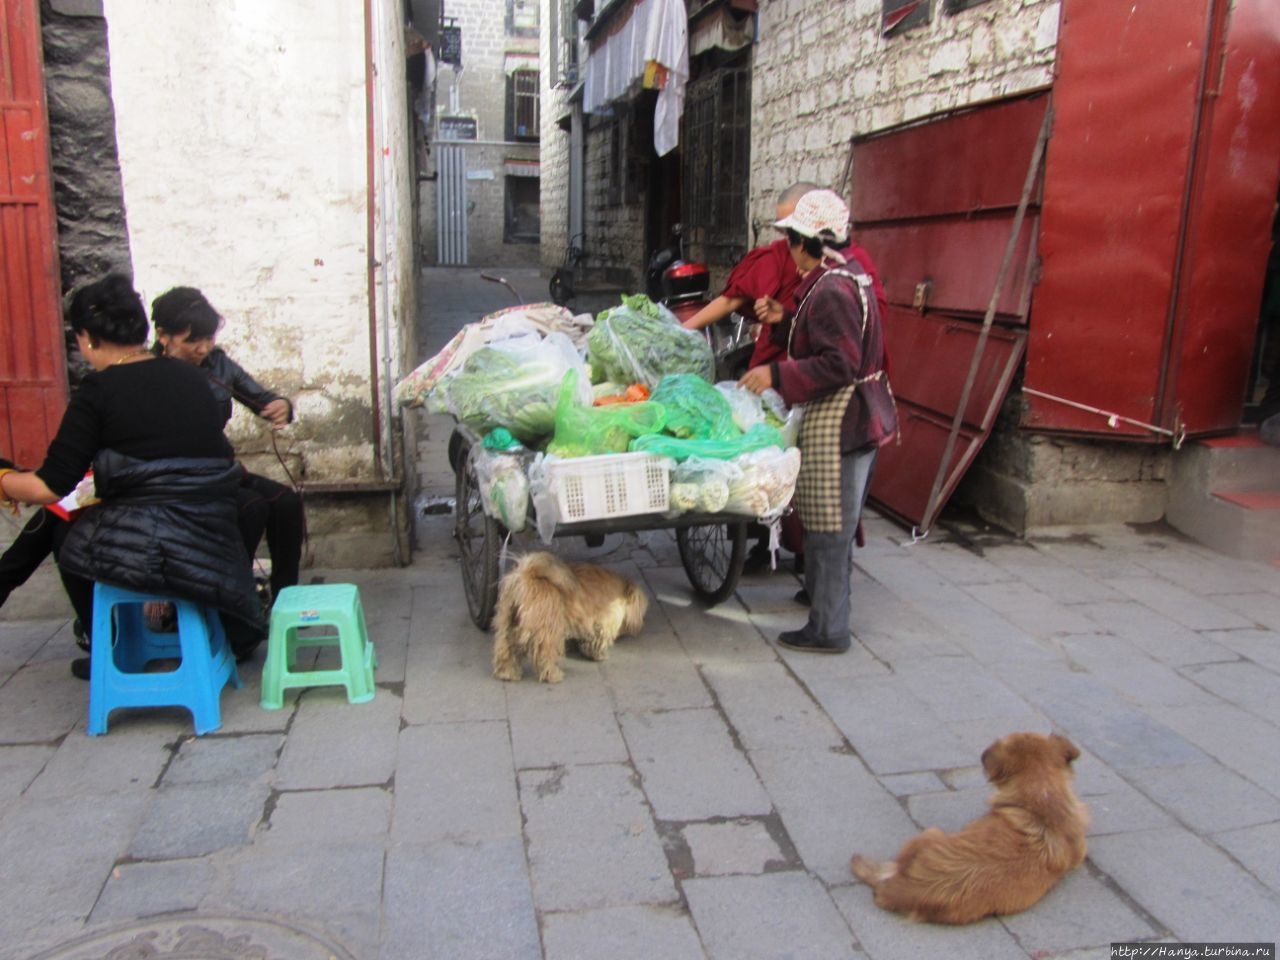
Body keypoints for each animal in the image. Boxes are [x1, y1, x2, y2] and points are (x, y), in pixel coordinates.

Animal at [488, 547, 650, 686]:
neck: (622, 590)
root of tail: (527, 576)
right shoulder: (603, 623)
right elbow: (597, 641)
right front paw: (598, 655)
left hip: (506, 626)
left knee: (505, 651)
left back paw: (507, 673)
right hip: (548, 632)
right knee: (545, 655)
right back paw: (553, 674)